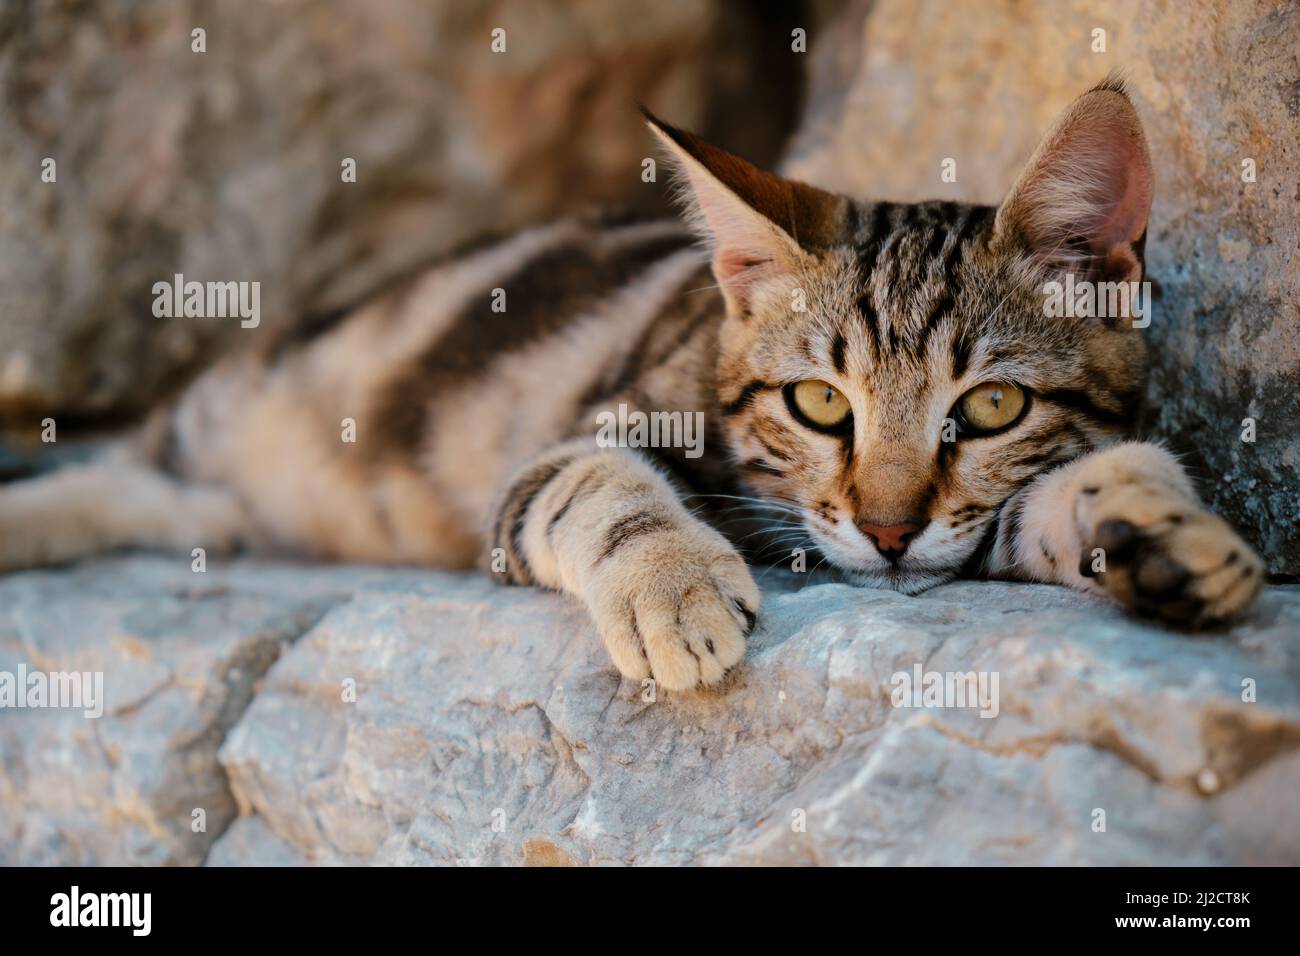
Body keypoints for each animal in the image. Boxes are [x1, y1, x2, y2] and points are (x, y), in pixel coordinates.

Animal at [0, 74, 1258, 686]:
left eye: (991, 406)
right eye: (819, 403)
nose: (889, 530)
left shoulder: (959, 525)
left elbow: (1068, 490)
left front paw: (1161, 526)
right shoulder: (562, 446)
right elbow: (599, 489)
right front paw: (672, 588)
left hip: (213, 499)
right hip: (220, 412)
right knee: (110, 466)